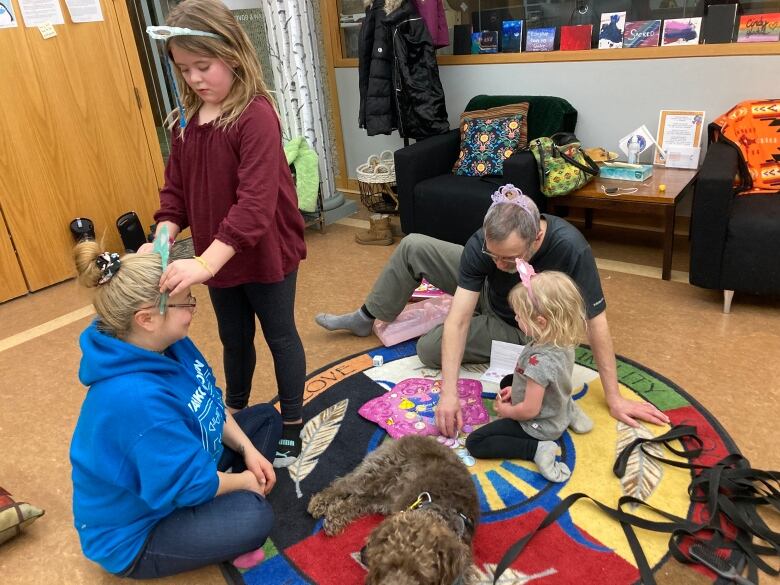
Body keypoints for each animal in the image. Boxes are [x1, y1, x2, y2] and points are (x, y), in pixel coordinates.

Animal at [308, 434, 478, 584]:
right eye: (388, 564)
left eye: (420, 575)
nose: (364, 554)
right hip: (378, 473)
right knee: (342, 484)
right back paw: (318, 503)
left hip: (383, 498)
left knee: (356, 502)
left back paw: (333, 520)